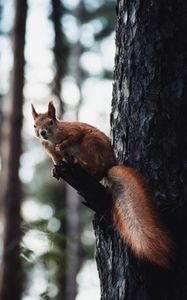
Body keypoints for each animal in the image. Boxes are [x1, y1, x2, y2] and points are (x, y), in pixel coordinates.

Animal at [31, 101, 172, 268]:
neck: (52, 139)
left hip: (90, 143)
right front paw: (55, 170)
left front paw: (62, 146)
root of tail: (110, 166)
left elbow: (74, 136)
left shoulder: (73, 130)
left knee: (94, 168)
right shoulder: (50, 152)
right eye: (34, 125)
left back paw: (81, 163)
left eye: (51, 122)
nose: (42, 133)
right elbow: (56, 160)